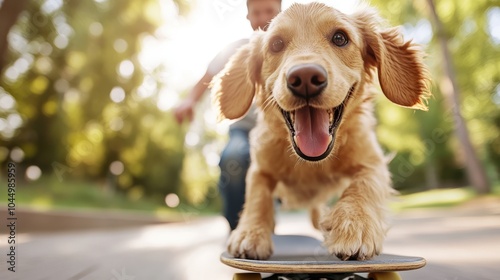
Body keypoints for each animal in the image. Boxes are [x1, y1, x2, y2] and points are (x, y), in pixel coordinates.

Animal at [211, 1, 430, 260]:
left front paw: (354, 225)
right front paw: (250, 233)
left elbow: (364, 185)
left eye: (340, 38)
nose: (305, 77)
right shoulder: (260, 168)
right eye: (276, 44)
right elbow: (257, 196)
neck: (311, 163)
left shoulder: (372, 162)